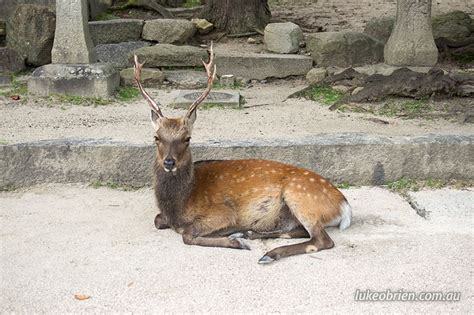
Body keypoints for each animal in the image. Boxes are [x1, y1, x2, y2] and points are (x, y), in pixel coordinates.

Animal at [133, 44, 352, 266]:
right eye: (156, 137)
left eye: (187, 138)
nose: (169, 162)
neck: (179, 204)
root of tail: (344, 207)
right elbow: (158, 220)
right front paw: (237, 237)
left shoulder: (223, 212)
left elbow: (186, 233)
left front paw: (234, 242)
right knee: (300, 231)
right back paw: (249, 233)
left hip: (301, 197)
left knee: (322, 239)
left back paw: (267, 253)